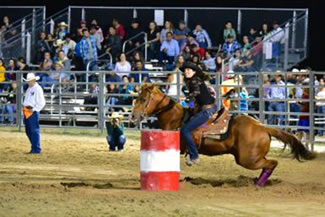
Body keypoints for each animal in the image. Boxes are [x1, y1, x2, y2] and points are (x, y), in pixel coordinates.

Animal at [131, 84, 314, 186]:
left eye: (143, 99)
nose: (132, 116)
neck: (177, 119)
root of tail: (263, 127)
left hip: (248, 159)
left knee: (272, 163)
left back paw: (258, 184)